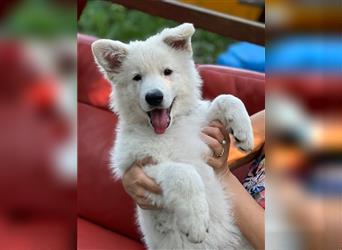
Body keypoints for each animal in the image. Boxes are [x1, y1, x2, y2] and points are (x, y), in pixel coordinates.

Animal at [91, 23, 254, 248]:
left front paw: (244, 132)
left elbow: (226, 98)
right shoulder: (141, 167)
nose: (154, 97)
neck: (170, 130)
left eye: (167, 72)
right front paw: (196, 222)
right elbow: (184, 173)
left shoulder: (201, 126)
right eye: (137, 77)